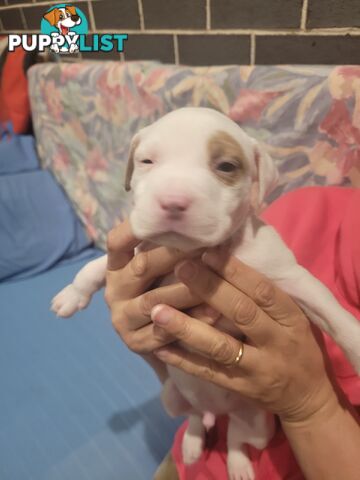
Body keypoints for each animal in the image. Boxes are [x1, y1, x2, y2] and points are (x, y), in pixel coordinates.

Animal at [51, 108, 360, 480]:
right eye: (147, 161)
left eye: (226, 166)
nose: (172, 202)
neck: (193, 252)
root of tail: (220, 411)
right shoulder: (140, 252)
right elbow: (95, 268)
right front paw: (71, 294)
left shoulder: (287, 275)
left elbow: (330, 309)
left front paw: (357, 348)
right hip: (172, 397)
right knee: (196, 416)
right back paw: (194, 442)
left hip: (262, 424)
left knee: (237, 438)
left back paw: (238, 464)